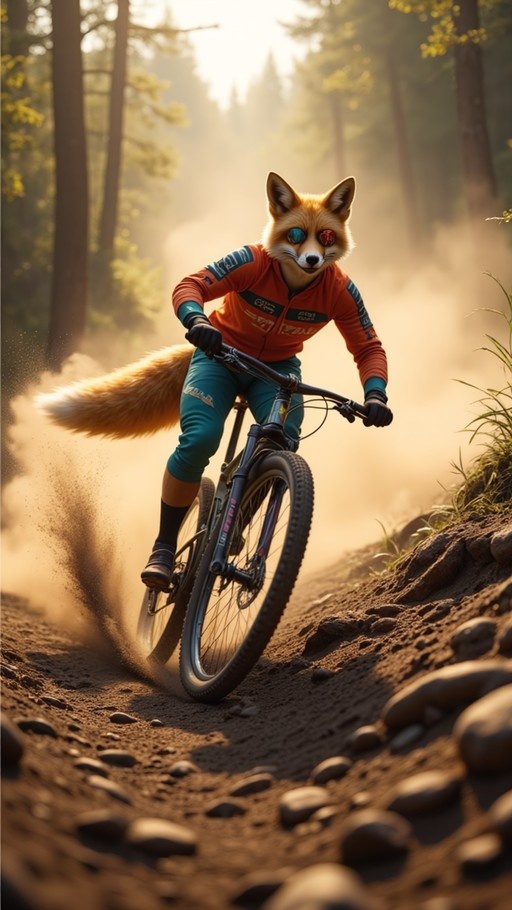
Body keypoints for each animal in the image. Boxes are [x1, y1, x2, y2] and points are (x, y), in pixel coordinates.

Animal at [36, 171, 358, 438]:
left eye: (326, 237)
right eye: (296, 235)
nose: (312, 260)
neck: (291, 288)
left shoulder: (347, 294)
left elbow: (365, 346)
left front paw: (371, 406)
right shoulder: (248, 261)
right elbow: (191, 282)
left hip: (278, 381)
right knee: (198, 439)